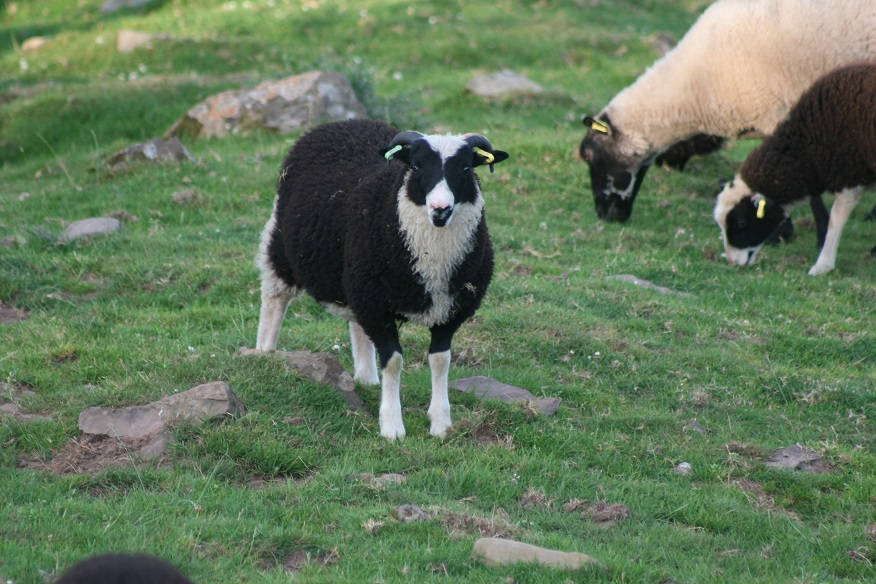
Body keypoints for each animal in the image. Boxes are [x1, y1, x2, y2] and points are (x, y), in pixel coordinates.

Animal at [256, 117, 510, 438]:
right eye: (416, 167)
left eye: (466, 168)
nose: (440, 209)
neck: (433, 259)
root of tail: (345, 122)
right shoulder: (378, 307)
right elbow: (394, 363)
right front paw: (392, 427)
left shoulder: (450, 311)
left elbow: (440, 361)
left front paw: (440, 422)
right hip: (283, 246)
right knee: (274, 299)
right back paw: (263, 353)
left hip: (356, 280)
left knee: (356, 324)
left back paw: (366, 378)